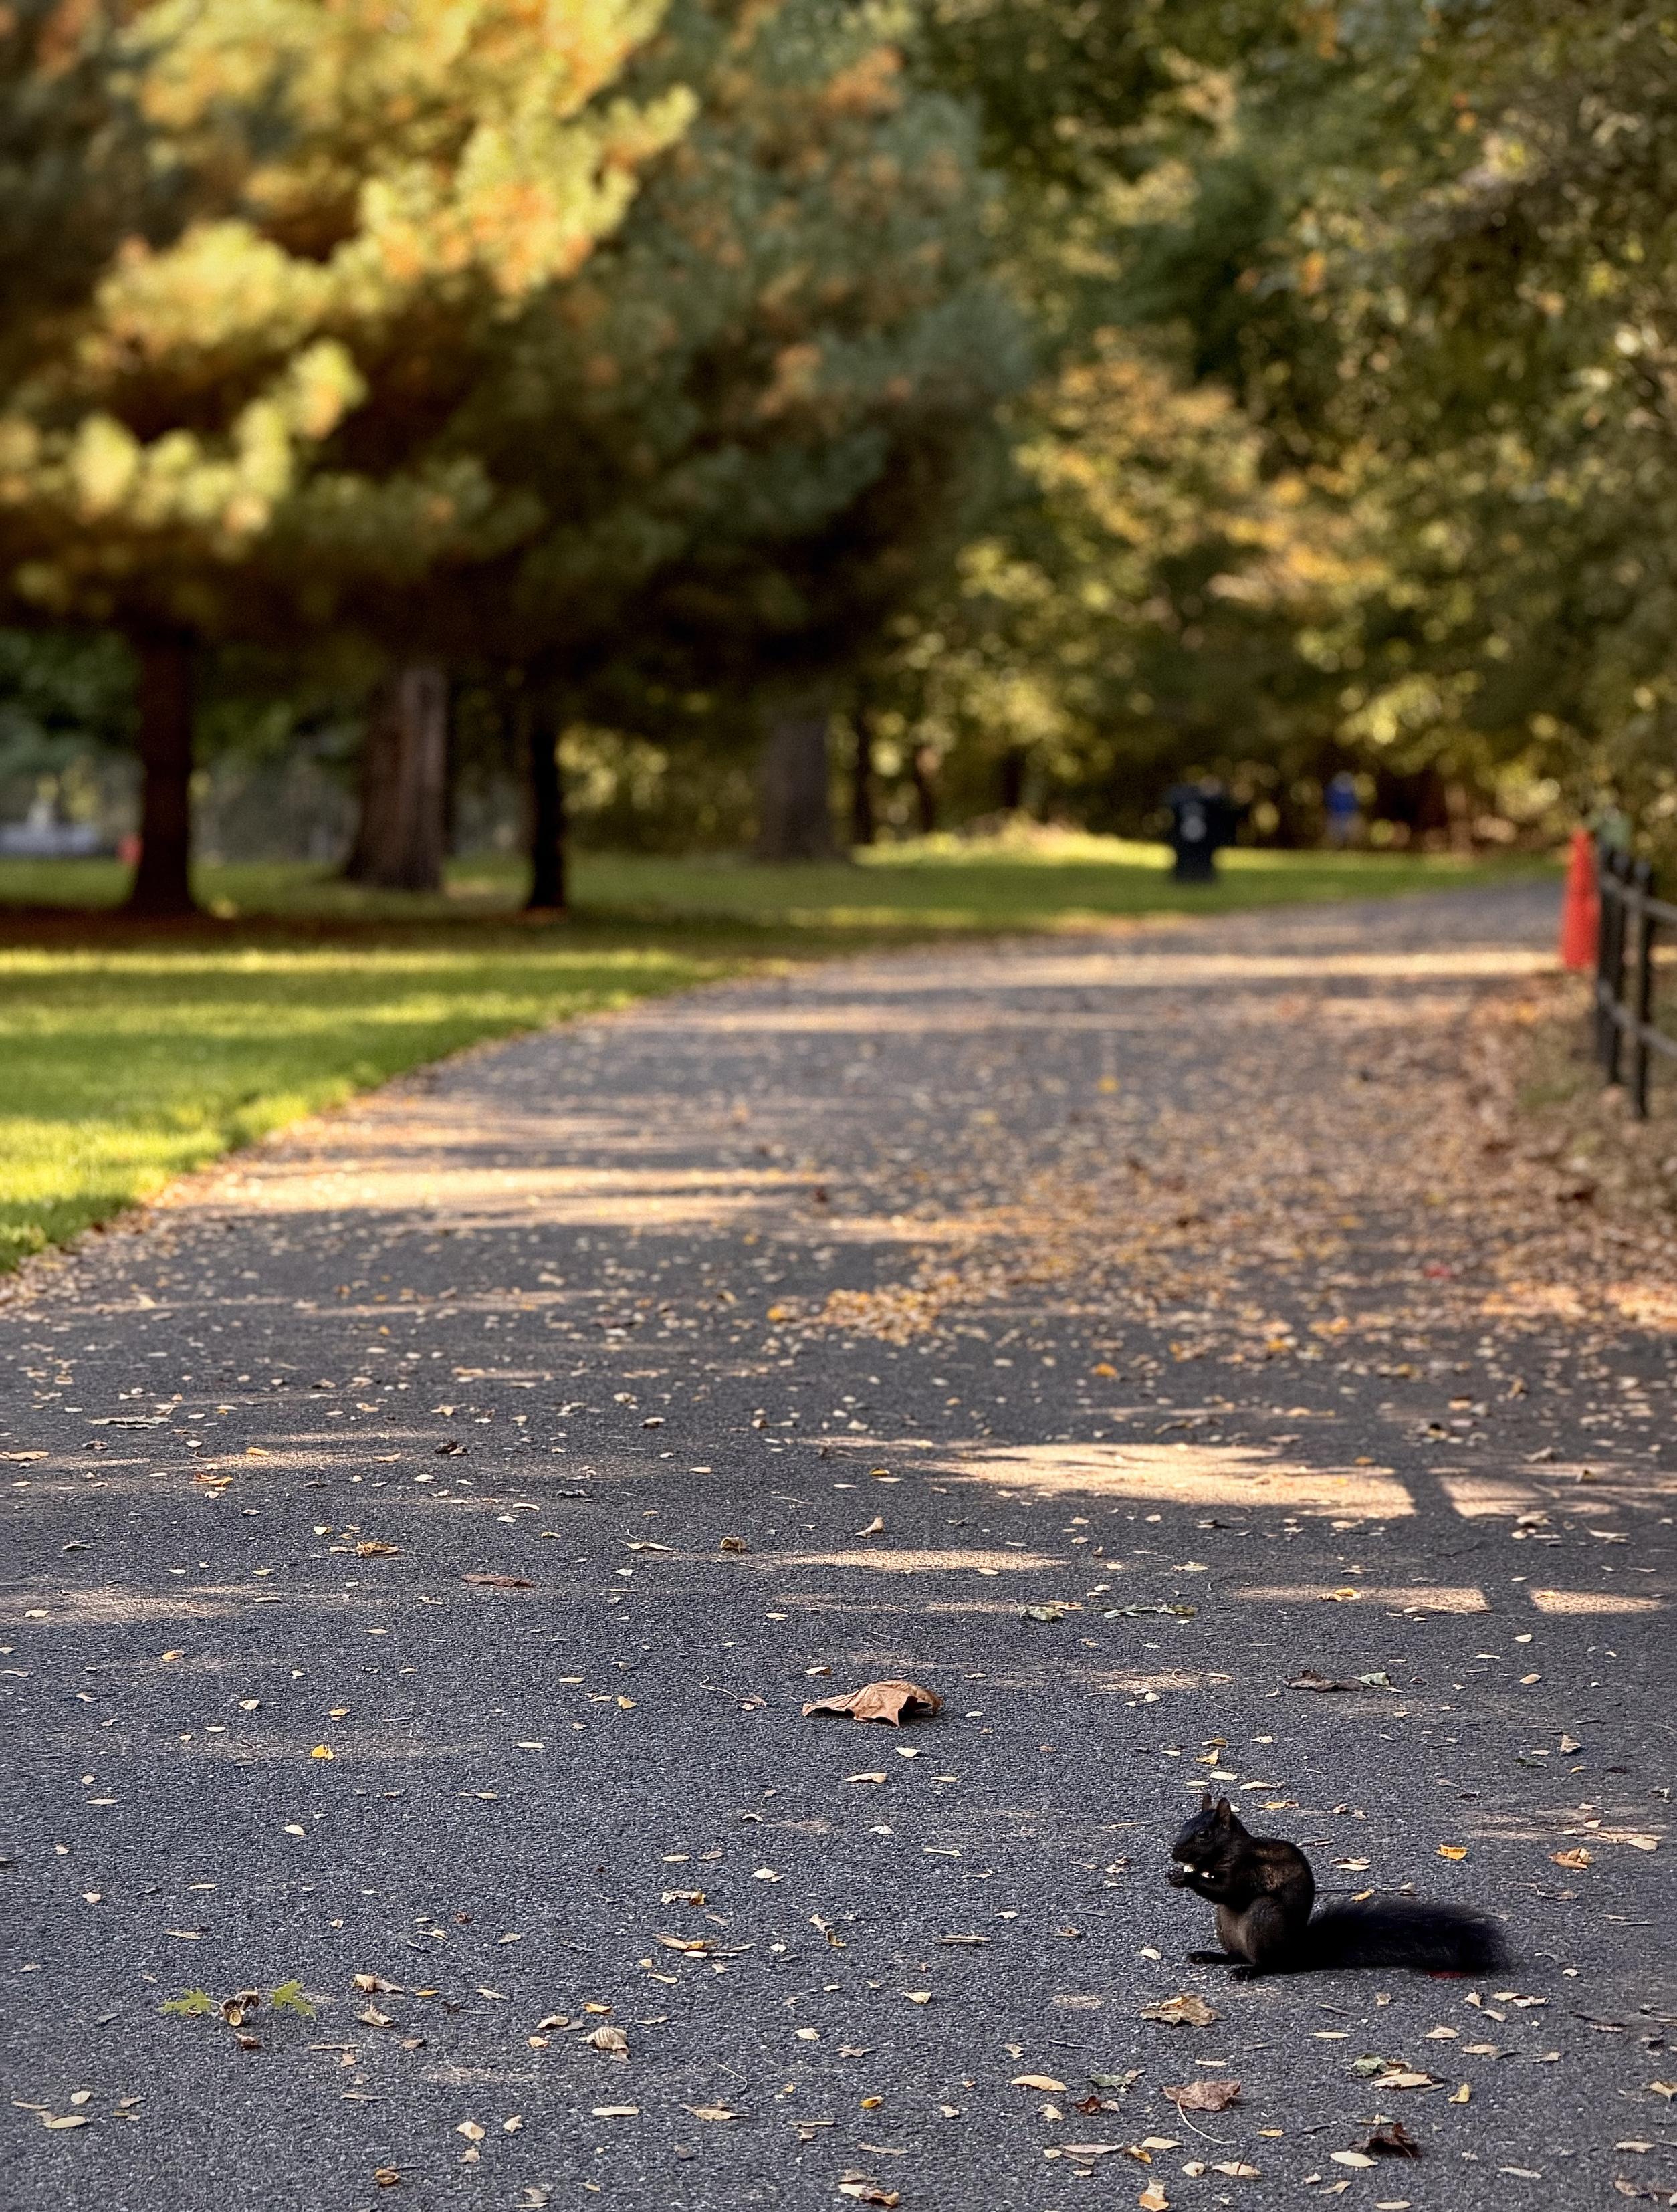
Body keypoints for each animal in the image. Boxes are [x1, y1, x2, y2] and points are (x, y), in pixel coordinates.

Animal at [1168, 1794, 1507, 1979]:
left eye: (1204, 1835)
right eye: (1184, 1825)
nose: (1175, 1853)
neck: (1228, 1850)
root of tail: (1298, 1952)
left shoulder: (1247, 1868)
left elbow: (1230, 1891)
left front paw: (1188, 1877)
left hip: (1265, 1918)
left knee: (1269, 1963)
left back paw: (1253, 1970)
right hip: (1225, 1924)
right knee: (1237, 1954)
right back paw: (1212, 1956)